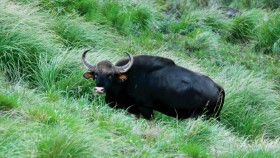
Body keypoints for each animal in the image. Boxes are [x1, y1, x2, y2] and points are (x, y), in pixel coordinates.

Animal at [81, 49, 225, 119]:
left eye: (110, 75)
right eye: (95, 74)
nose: (99, 89)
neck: (128, 79)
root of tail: (219, 88)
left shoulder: (146, 109)